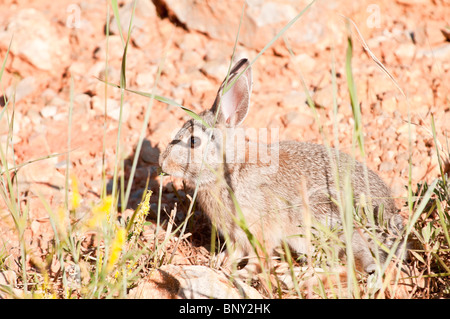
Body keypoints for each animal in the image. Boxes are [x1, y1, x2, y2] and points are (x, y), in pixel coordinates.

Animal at [160, 58, 406, 278]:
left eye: (193, 141)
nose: (163, 163)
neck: (229, 169)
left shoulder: (258, 229)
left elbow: (259, 256)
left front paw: (241, 274)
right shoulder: (236, 236)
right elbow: (235, 253)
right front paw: (220, 263)